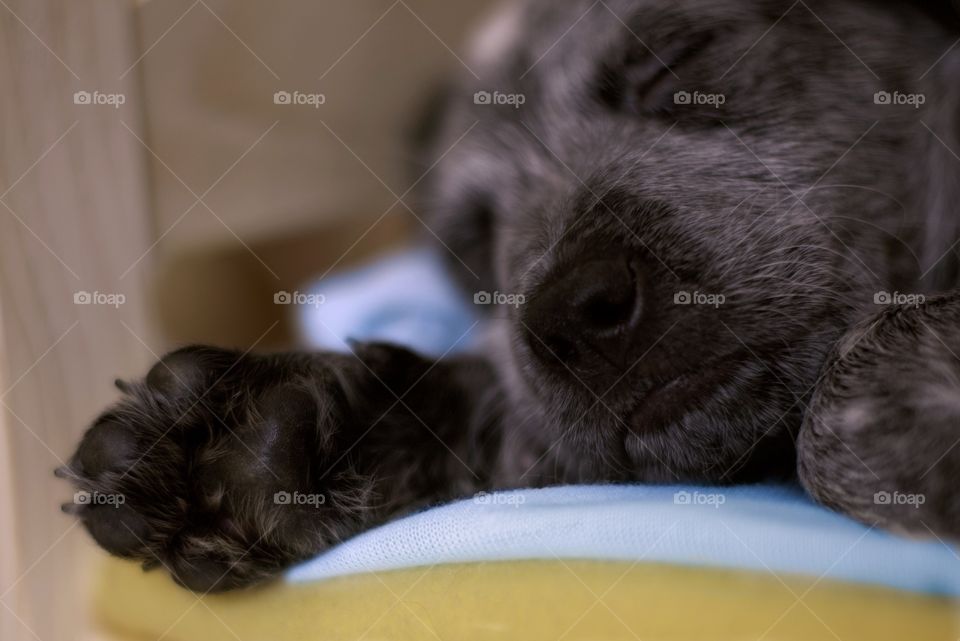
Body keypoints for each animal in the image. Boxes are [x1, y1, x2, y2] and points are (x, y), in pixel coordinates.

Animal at [58, 0, 960, 592]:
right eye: (474, 236)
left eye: (679, 69)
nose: (569, 313)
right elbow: (512, 422)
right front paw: (263, 437)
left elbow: (835, 417)